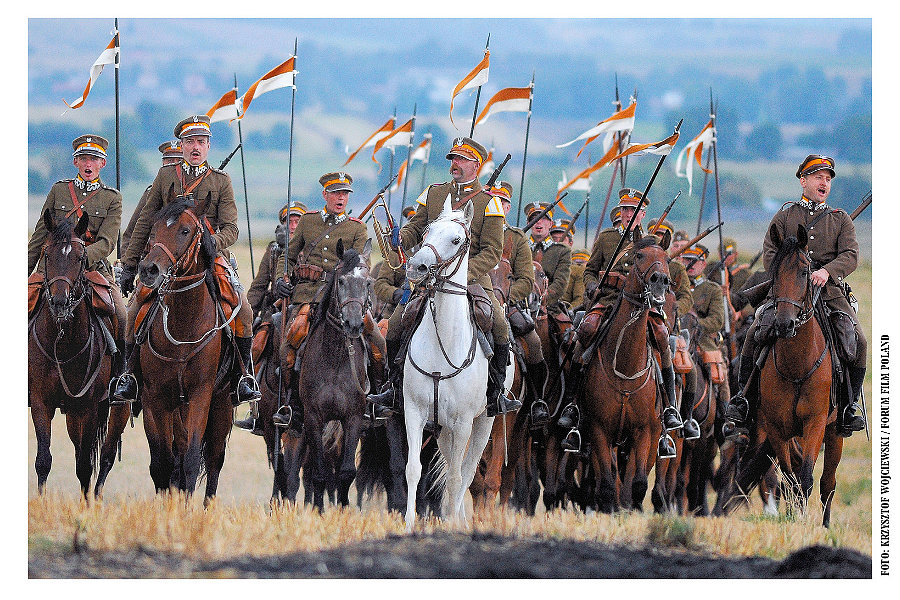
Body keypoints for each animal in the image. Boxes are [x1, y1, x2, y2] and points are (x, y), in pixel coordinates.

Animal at [29, 210, 113, 497]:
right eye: (47, 254)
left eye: (80, 258)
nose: (60, 303)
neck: (62, 343)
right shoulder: (41, 402)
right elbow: (43, 459)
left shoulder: (88, 407)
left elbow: (85, 465)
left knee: (104, 458)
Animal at [134, 199, 236, 500]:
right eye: (154, 227)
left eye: (185, 230)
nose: (149, 270)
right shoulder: (154, 397)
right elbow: (162, 463)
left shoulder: (200, 395)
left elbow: (190, 460)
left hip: (221, 404)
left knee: (213, 461)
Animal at [293, 238, 373, 511]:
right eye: (341, 281)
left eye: (367, 283)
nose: (354, 324)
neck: (336, 358)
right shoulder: (313, 418)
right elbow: (318, 473)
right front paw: (318, 511)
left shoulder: (353, 418)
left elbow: (346, 472)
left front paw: (344, 510)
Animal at [402, 197, 494, 530]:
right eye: (426, 230)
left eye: (456, 240)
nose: (416, 267)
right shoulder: (414, 411)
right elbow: (413, 469)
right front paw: (408, 525)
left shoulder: (464, 421)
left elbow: (455, 477)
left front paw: (452, 525)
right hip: (441, 428)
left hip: (483, 423)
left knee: (466, 471)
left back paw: (460, 521)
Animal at [722, 223, 842, 526]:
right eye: (775, 274)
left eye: (805, 272)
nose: (785, 323)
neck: (797, 366)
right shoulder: (775, 429)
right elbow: (789, 478)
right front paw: (793, 517)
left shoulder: (815, 424)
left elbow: (807, 479)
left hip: (835, 431)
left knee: (828, 482)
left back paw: (825, 526)